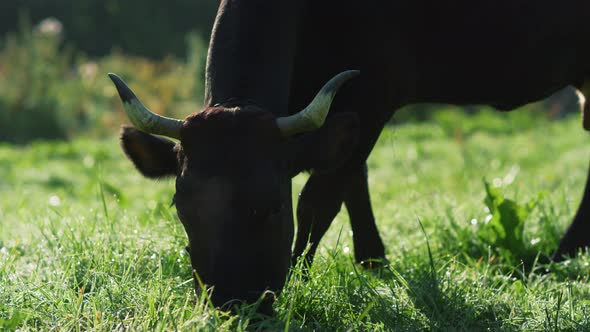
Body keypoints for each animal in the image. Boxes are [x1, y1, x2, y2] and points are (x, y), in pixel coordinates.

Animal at [110, 0, 590, 314]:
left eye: (272, 207)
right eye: (180, 207)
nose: (233, 304)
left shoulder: (375, 91)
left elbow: (321, 198)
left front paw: (300, 275)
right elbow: (352, 180)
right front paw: (374, 261)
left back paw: (563, 255)